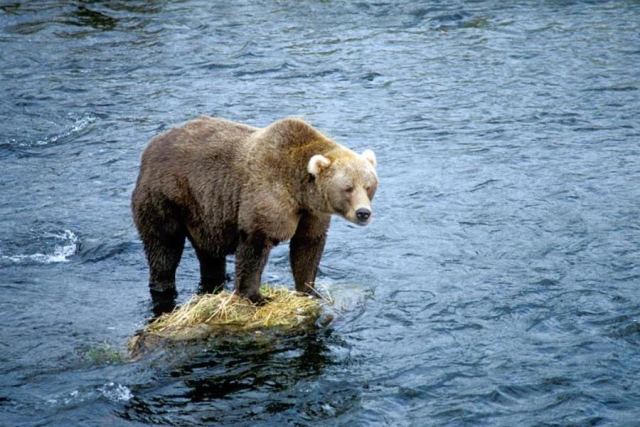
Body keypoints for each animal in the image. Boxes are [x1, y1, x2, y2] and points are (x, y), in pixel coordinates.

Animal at [131, 116, 378, 312]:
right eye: (348, 187)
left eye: (368, 186)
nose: (363, 213)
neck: (299, 191)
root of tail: (150, 147)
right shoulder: (267, 196)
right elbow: (255, 247)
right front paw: (256, 296)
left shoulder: (311, 213)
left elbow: (307, 247)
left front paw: (308, 290)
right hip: (166, 197)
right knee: (164, 246)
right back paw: (163, 286)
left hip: (203, 212)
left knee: (209, 252)